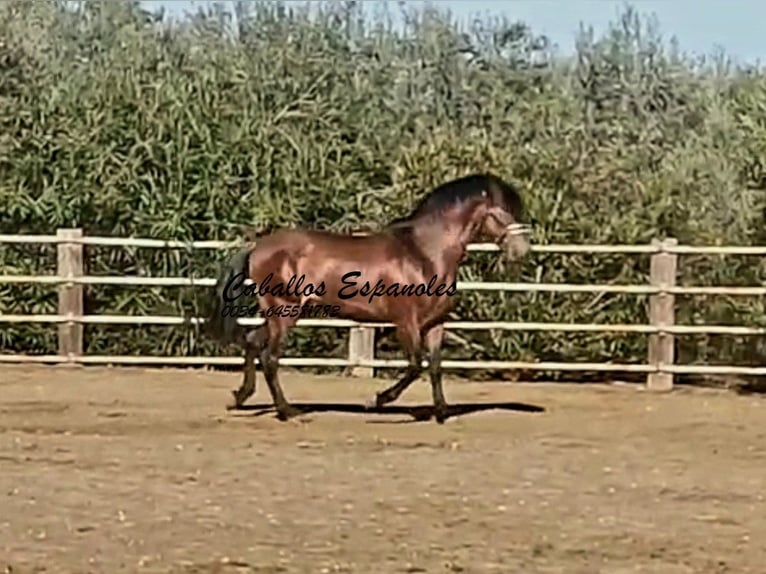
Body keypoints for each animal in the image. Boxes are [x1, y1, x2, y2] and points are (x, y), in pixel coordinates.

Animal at [205, 172, 533, 423]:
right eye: (501, 211)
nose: (522, 250)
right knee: (270, 358)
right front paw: (377, 400)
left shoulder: (435, 324)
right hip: (284, 312)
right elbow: (416, 365)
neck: (424, 253)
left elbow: (435, 367)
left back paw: (240, 397)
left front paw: (441, 412)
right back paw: (288, 412)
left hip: (277, 315)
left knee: (252, 343)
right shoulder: (406, 322)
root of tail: (257, 247)